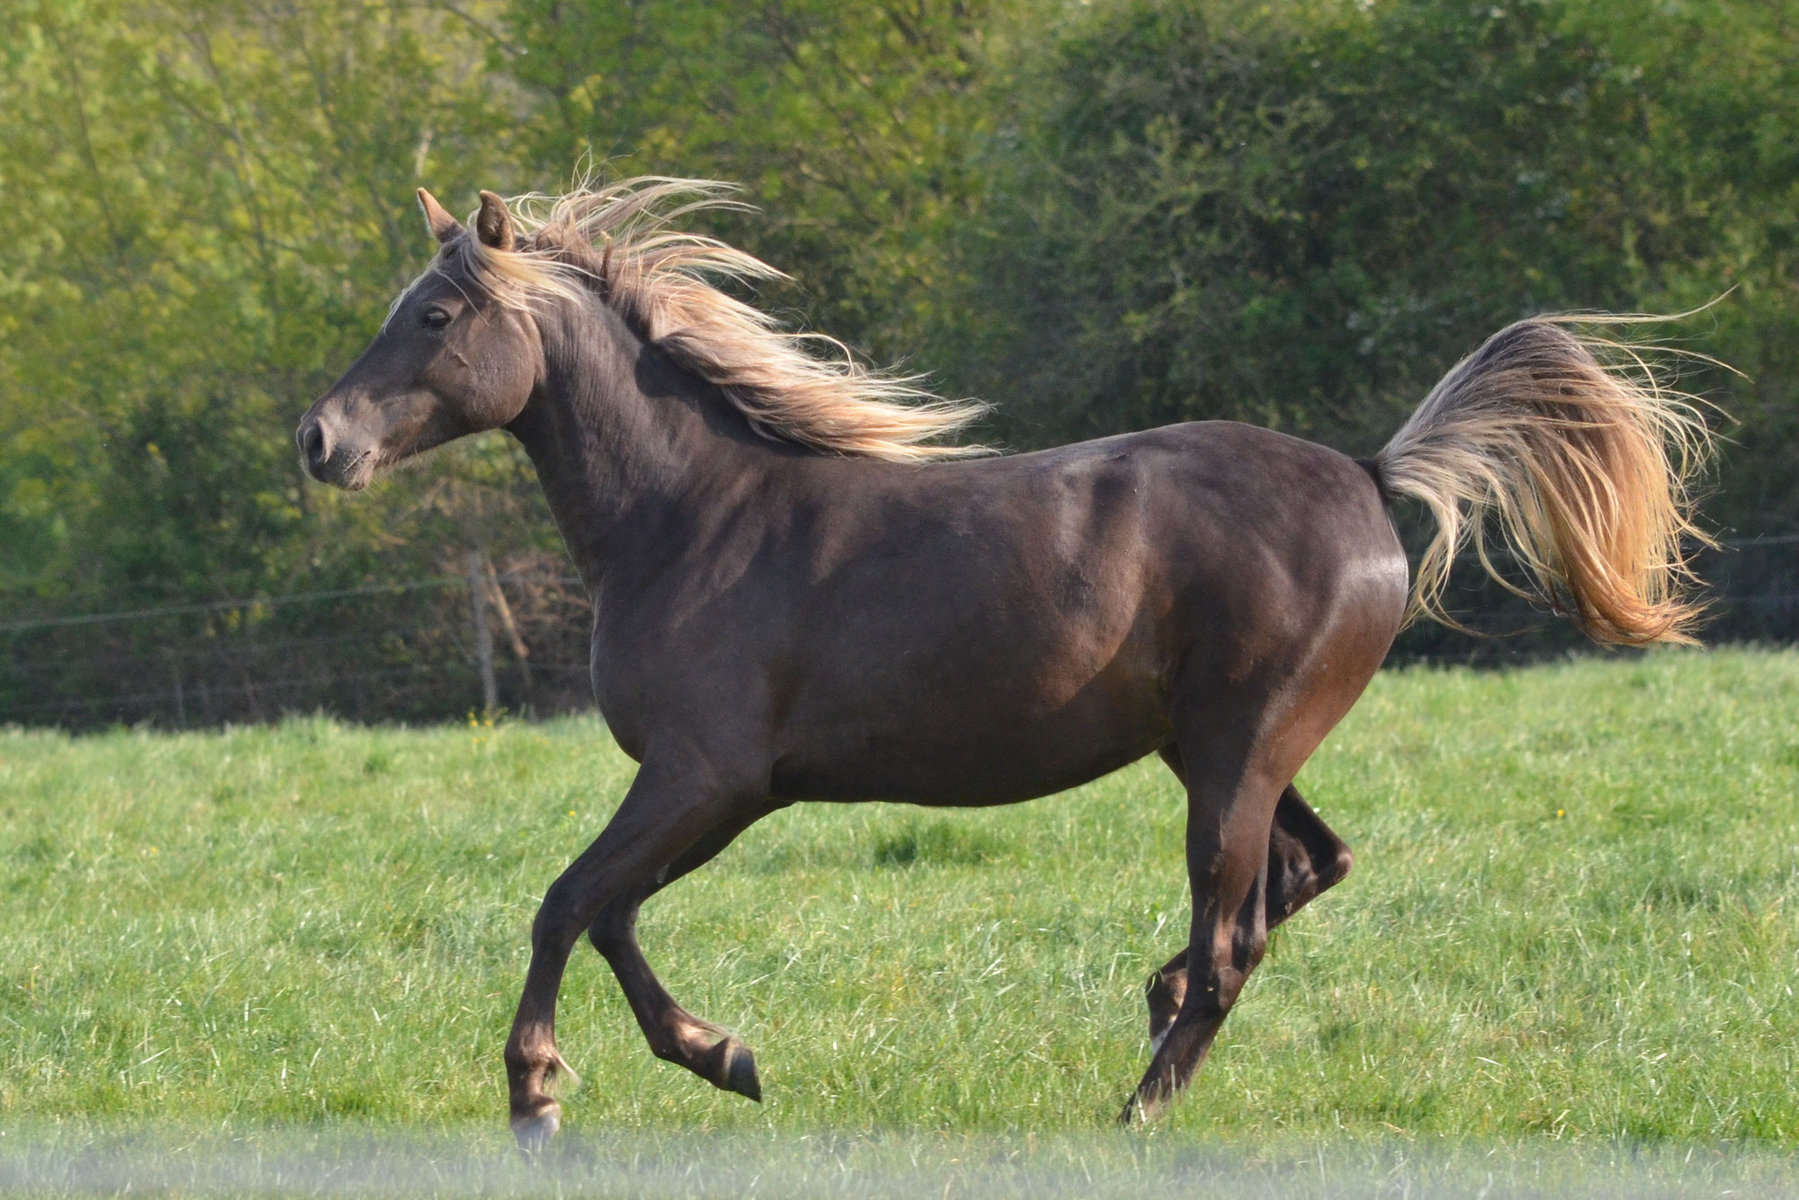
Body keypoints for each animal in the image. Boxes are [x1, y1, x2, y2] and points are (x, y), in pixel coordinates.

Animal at [295, 178, 1714, 1149]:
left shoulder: (707, 780)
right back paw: (1151, 1011)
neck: (691, 517)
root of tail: (1369, 478)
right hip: (1222, 749)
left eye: (434, 313)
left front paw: (542, 1092)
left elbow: (566, 903)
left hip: (1234, 757)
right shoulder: (712, 791)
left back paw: (1136, 1108)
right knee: (1306, 873)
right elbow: (610, 915)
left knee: (1232, 936)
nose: (319, 441)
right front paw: (720, 1055)